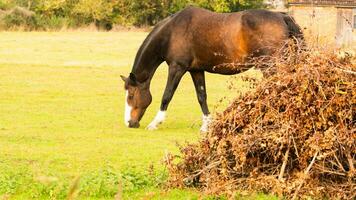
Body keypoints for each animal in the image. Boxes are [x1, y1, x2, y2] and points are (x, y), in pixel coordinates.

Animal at [120, 5, 304, 131]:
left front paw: (155, 123)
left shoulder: (177, 68)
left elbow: (167, 95)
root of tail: (281, 16)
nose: (129, 123)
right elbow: (202, 96)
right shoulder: (196, 70)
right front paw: (206, 126)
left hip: (270, 66)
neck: (171, 32)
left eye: (131, 95)